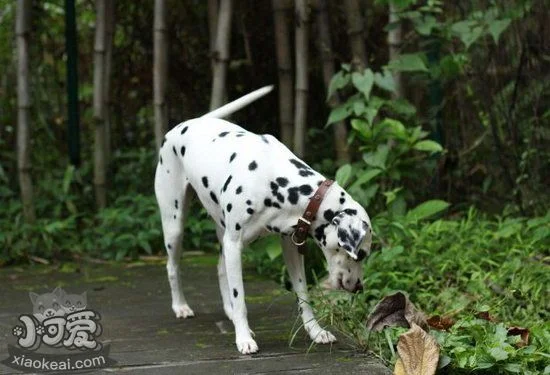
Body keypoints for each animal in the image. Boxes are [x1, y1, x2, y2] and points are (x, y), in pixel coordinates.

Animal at [155, 86, 376, 356]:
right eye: (362, 254)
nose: (359, 288)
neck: (277, 180)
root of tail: (187, 123)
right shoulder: (235, 244)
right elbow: (240, 298)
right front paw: (243, 338)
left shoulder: (290, 246)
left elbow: (303, 295)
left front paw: (315, 332)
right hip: (175, 226)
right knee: (172, 267)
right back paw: (181, 306)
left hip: (222, 232)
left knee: (220, 269)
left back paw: (228, 312)